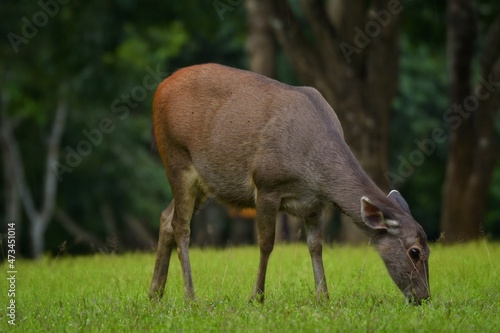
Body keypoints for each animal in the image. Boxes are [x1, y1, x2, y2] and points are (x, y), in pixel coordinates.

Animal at [147, 62, 430, 304]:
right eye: (415, 251)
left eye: (429, 250)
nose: (424, 297)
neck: (314, 170)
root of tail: (160, 88)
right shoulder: (266, 184)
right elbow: (266, 243)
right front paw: (257, 297)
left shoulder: (316, 204)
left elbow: (316, 246)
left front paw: (323, 296)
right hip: (176, 156)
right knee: (181, 225)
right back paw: (190, 296)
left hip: (204, 182)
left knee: (166, 216)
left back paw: (155, 293)